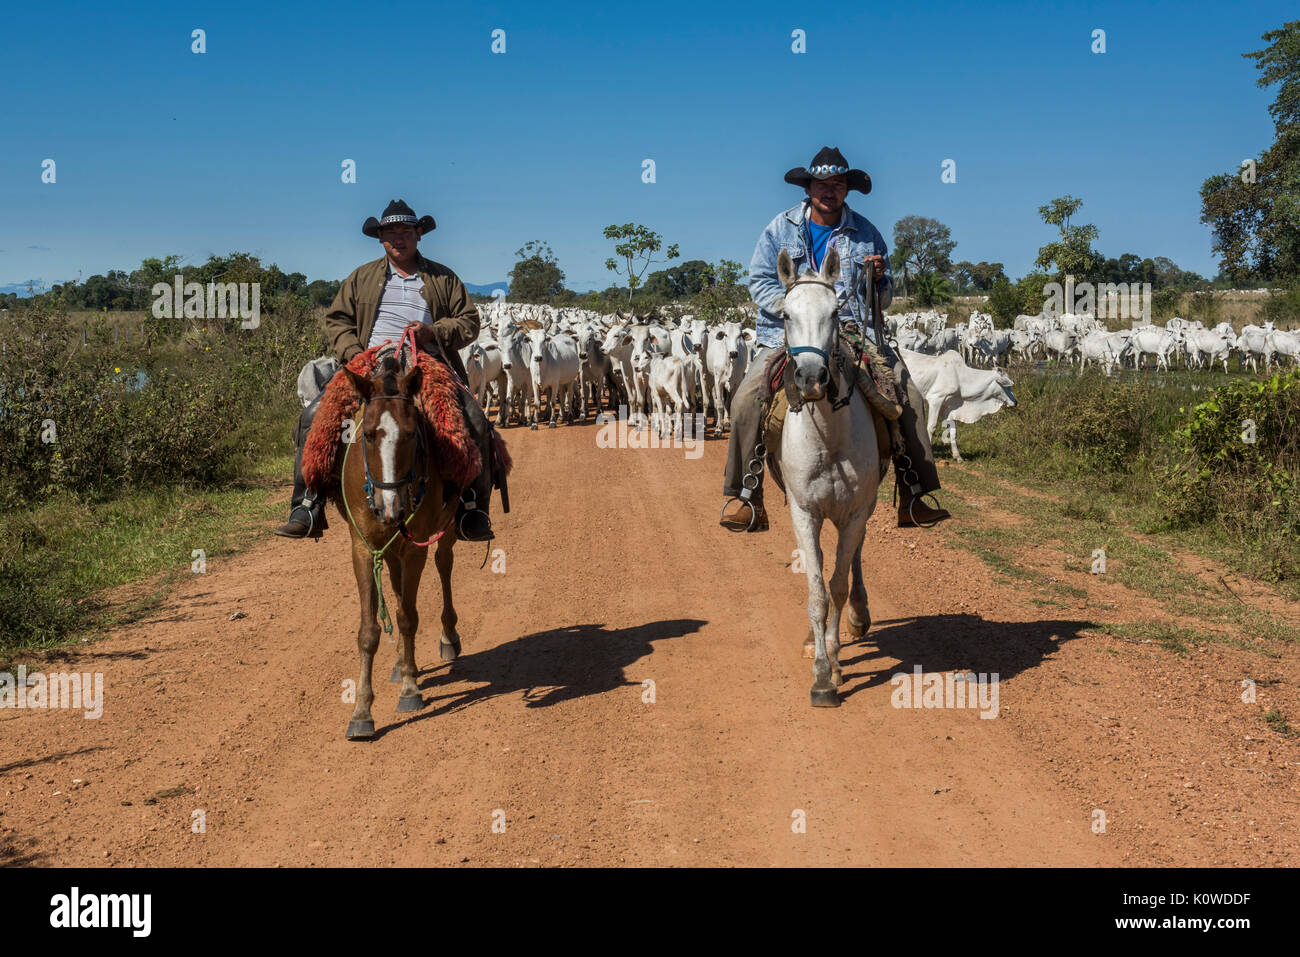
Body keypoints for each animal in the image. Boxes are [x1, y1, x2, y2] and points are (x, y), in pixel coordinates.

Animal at [335, 358, 462, 738]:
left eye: (410, 434)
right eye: (368, 434)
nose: (390, 507)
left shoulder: (415, 548)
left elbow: (407, 618)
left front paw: (410, 689)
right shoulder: (362, 549)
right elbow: (368, 631)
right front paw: (361, 711)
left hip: (442, 532)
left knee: (444, 564)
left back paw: (448, 638)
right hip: (389, 551)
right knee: (394, 584)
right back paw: (400, 662)